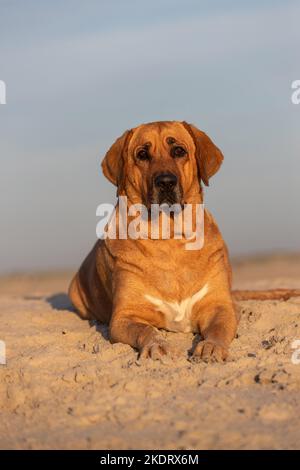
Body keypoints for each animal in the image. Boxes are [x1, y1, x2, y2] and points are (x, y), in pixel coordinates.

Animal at [68, 121, 300, 364]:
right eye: (142, 154)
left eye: (179, 151)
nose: (166, 182)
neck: (170, 237)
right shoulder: (125, 316)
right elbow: (145, 329)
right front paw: (157, 345)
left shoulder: (219, 305)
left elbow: (218, 328)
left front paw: (211, 347)